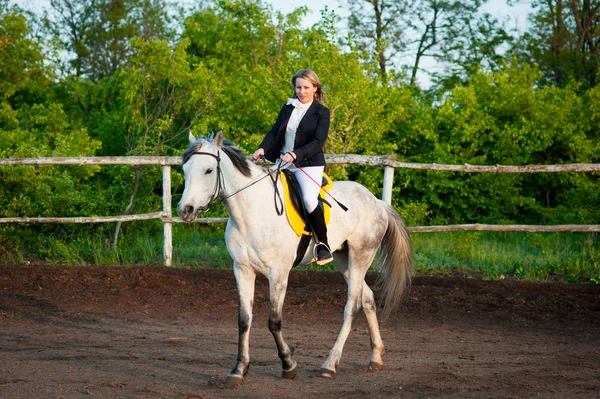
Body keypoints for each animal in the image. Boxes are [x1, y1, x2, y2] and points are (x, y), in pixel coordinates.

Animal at [178, 133, 412, 386]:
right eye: (185, 169)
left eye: (208, 170)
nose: (185, 210)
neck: (251, 212)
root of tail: (377, 202)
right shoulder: (242, 270)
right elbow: (243, 320)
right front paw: (239, 369)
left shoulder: (279, 273)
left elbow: (274, 321)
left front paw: (289, 365)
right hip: (343, 259)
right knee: (367, 298)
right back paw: (375, 356)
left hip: (361, 255)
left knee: (353, 305)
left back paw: (330, 364)